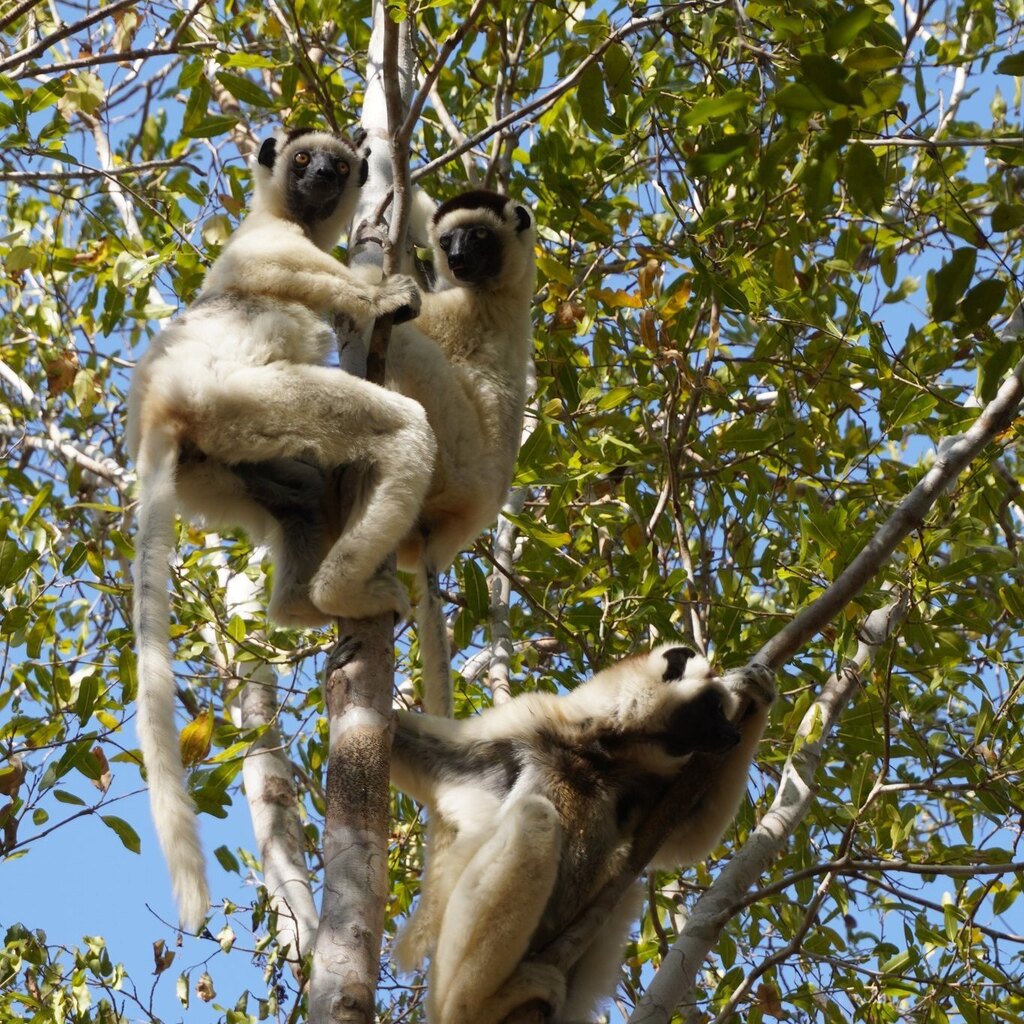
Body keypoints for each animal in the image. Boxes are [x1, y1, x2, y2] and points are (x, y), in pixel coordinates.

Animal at [126, 127, 437, 932]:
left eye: (335, 164)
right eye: (303, 161)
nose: (325, 174)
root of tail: (163, 410)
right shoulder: (264, 240)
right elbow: (280, 270)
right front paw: (383, 296)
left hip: (227, 462)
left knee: (304, 498)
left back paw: (302, 602)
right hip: (242, 397)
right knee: (399, 429)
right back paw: (345, 593)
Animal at [381, 643, 774, 1024]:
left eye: (722, 711)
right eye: (712, 708)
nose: (733, 735)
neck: (601, 751)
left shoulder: (644, 780)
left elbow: (691, 832)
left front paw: (757, 693)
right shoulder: (525, 724)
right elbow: (409, 743)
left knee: (623, 893)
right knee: (535, 819)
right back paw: (475, 1007)